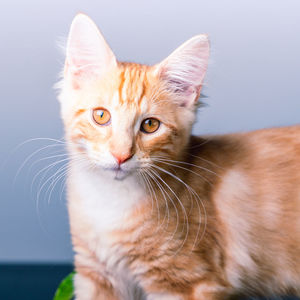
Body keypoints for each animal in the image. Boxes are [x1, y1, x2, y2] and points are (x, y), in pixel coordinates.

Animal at [56, 12, 300, 298]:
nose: (121, 156)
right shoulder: (96, 273)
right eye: (101, 116)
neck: (110, 202)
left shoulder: (186, 281)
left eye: (150, 125)